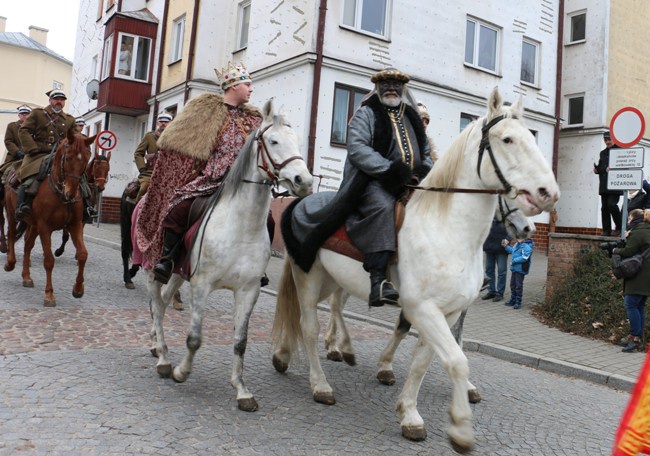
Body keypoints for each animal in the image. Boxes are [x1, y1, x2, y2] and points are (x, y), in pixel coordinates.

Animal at [3, 128, 97, 306]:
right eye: (68, 158)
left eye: (86, 159)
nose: (71, 193)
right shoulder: (45, 227)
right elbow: (49, 260)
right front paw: (49, 294)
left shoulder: (75, 225)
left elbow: (83, 254)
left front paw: (78, 289)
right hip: (12, 214)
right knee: (11, 234)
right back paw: (10, 263)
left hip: (32, 224)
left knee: (27, 245)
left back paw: (26, 277)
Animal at [142, 100, 314, 414]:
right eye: (273, 141)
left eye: (296, 140)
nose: (304, 181)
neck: (240, 226)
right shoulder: (201, 285)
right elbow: (195, 338)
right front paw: (181, 372)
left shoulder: (248, 290)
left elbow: (240, 341)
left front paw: (242, 390)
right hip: (154, 269)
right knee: (157, 308)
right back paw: (163, 358)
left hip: (178, 274)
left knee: (164, 300)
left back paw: (155, 346)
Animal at [268, 87, 556, 450]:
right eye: (507, 139)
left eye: (533, 139)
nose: (548, 194)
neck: (446, 230)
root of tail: (302, 202)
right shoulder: (423, 308)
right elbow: (456, 360)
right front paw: (460, 427)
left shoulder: (447, 311)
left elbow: (424, 360)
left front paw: (409, 413)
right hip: (309, 277)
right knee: (308, 326)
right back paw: (321, 383)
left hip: (334, 281)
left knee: (321, 311)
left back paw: (298, 353)